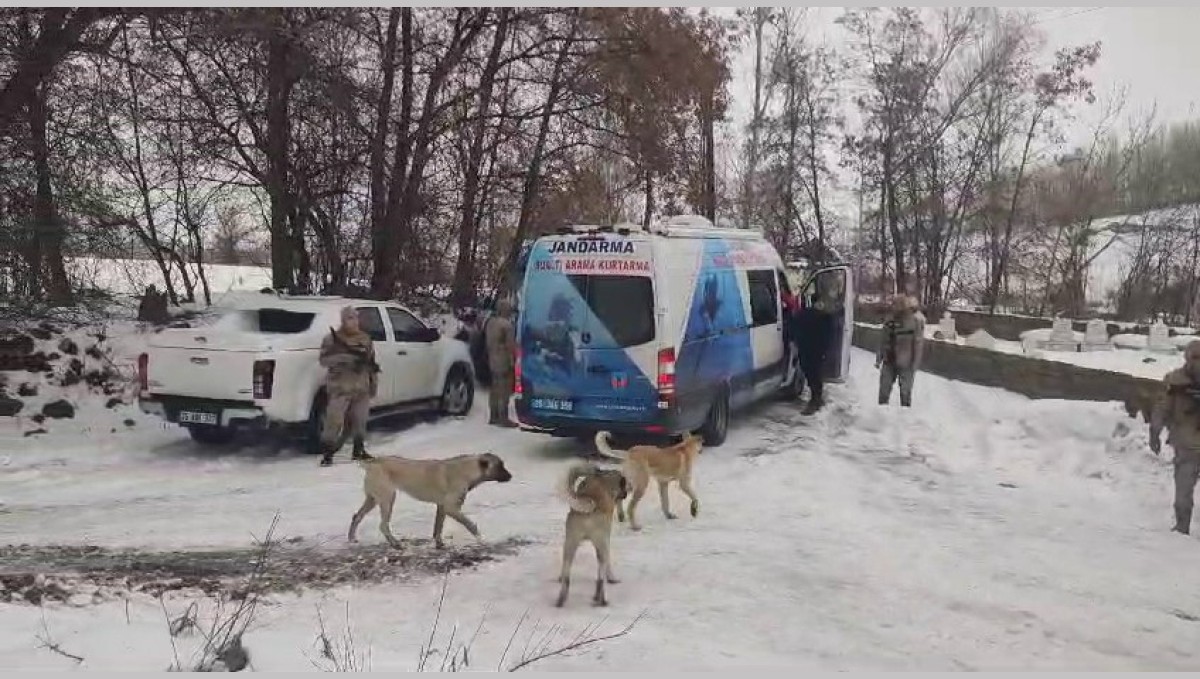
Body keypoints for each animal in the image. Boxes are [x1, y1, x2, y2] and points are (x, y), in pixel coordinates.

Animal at [350, 455, 513, 551]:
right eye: (500, 466)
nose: (511, 476)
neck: (467, 469)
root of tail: (372, 463)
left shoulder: (441, 507)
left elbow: (438, 528)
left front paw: (439, 544)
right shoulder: (451, 508)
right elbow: (471, 524)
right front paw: (481, 540)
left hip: (373, 499)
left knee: (356, 516)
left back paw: (352, 538)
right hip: (387, 499)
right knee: (383, 525)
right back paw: (396, 544)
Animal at [554, 465, 628, 609]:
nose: (626, 494)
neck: (605, 480)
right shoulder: (605, 540)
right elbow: (607, 565)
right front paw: (612, 578)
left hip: (570, 543)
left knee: (566, 575)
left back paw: (561, 599)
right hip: (601, 543)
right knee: (600, 578)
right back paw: (601, 599)